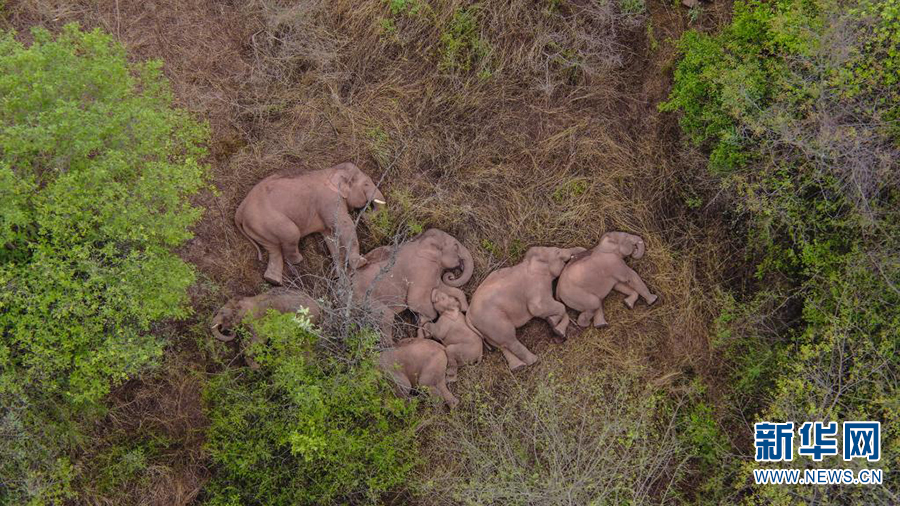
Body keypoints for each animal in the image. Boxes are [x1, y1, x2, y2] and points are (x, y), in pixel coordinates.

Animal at [235, 162, 386, 285]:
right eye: (366, 184)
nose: (364, 213)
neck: (332, 170)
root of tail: (240, 211)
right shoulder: (329, 200)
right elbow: (343, 225)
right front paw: (361, 263)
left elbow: (330, 236)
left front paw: (339, 275)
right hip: (268, 220)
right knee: (291, 233)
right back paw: (298, 260)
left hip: (258, 228)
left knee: (273, 249)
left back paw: (273, 280)